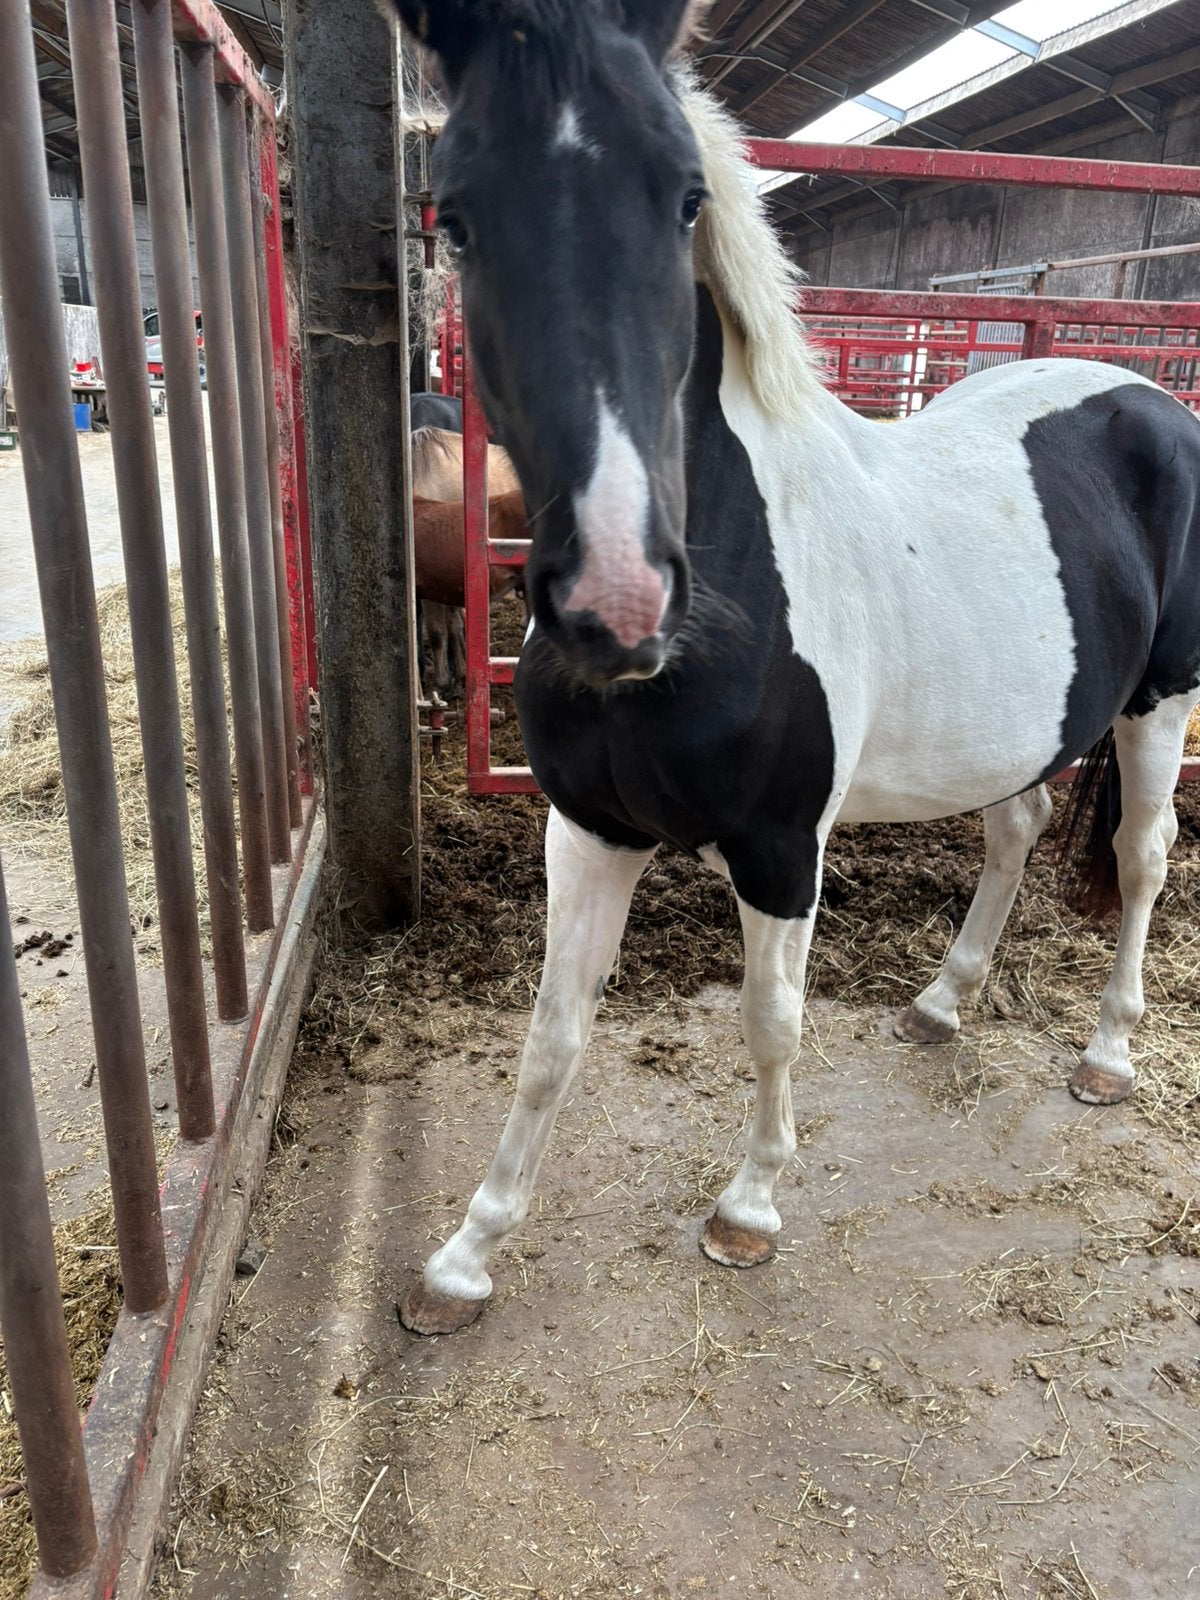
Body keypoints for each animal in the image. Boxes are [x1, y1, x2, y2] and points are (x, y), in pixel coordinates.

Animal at [389, 0, 1200, 1337]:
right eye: (452, 213)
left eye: (684, 196)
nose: (618, 598)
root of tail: (1148, 396)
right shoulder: (588, 828)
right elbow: (552, 1036)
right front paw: (465, 1255)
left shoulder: (780, 846)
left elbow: (774, 1024)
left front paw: (749, 1209)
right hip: (1024, 725)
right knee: (1017, 827)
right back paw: (941, 1002)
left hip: (1159, 700)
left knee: (1139, 859)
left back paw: (1107, 1055)